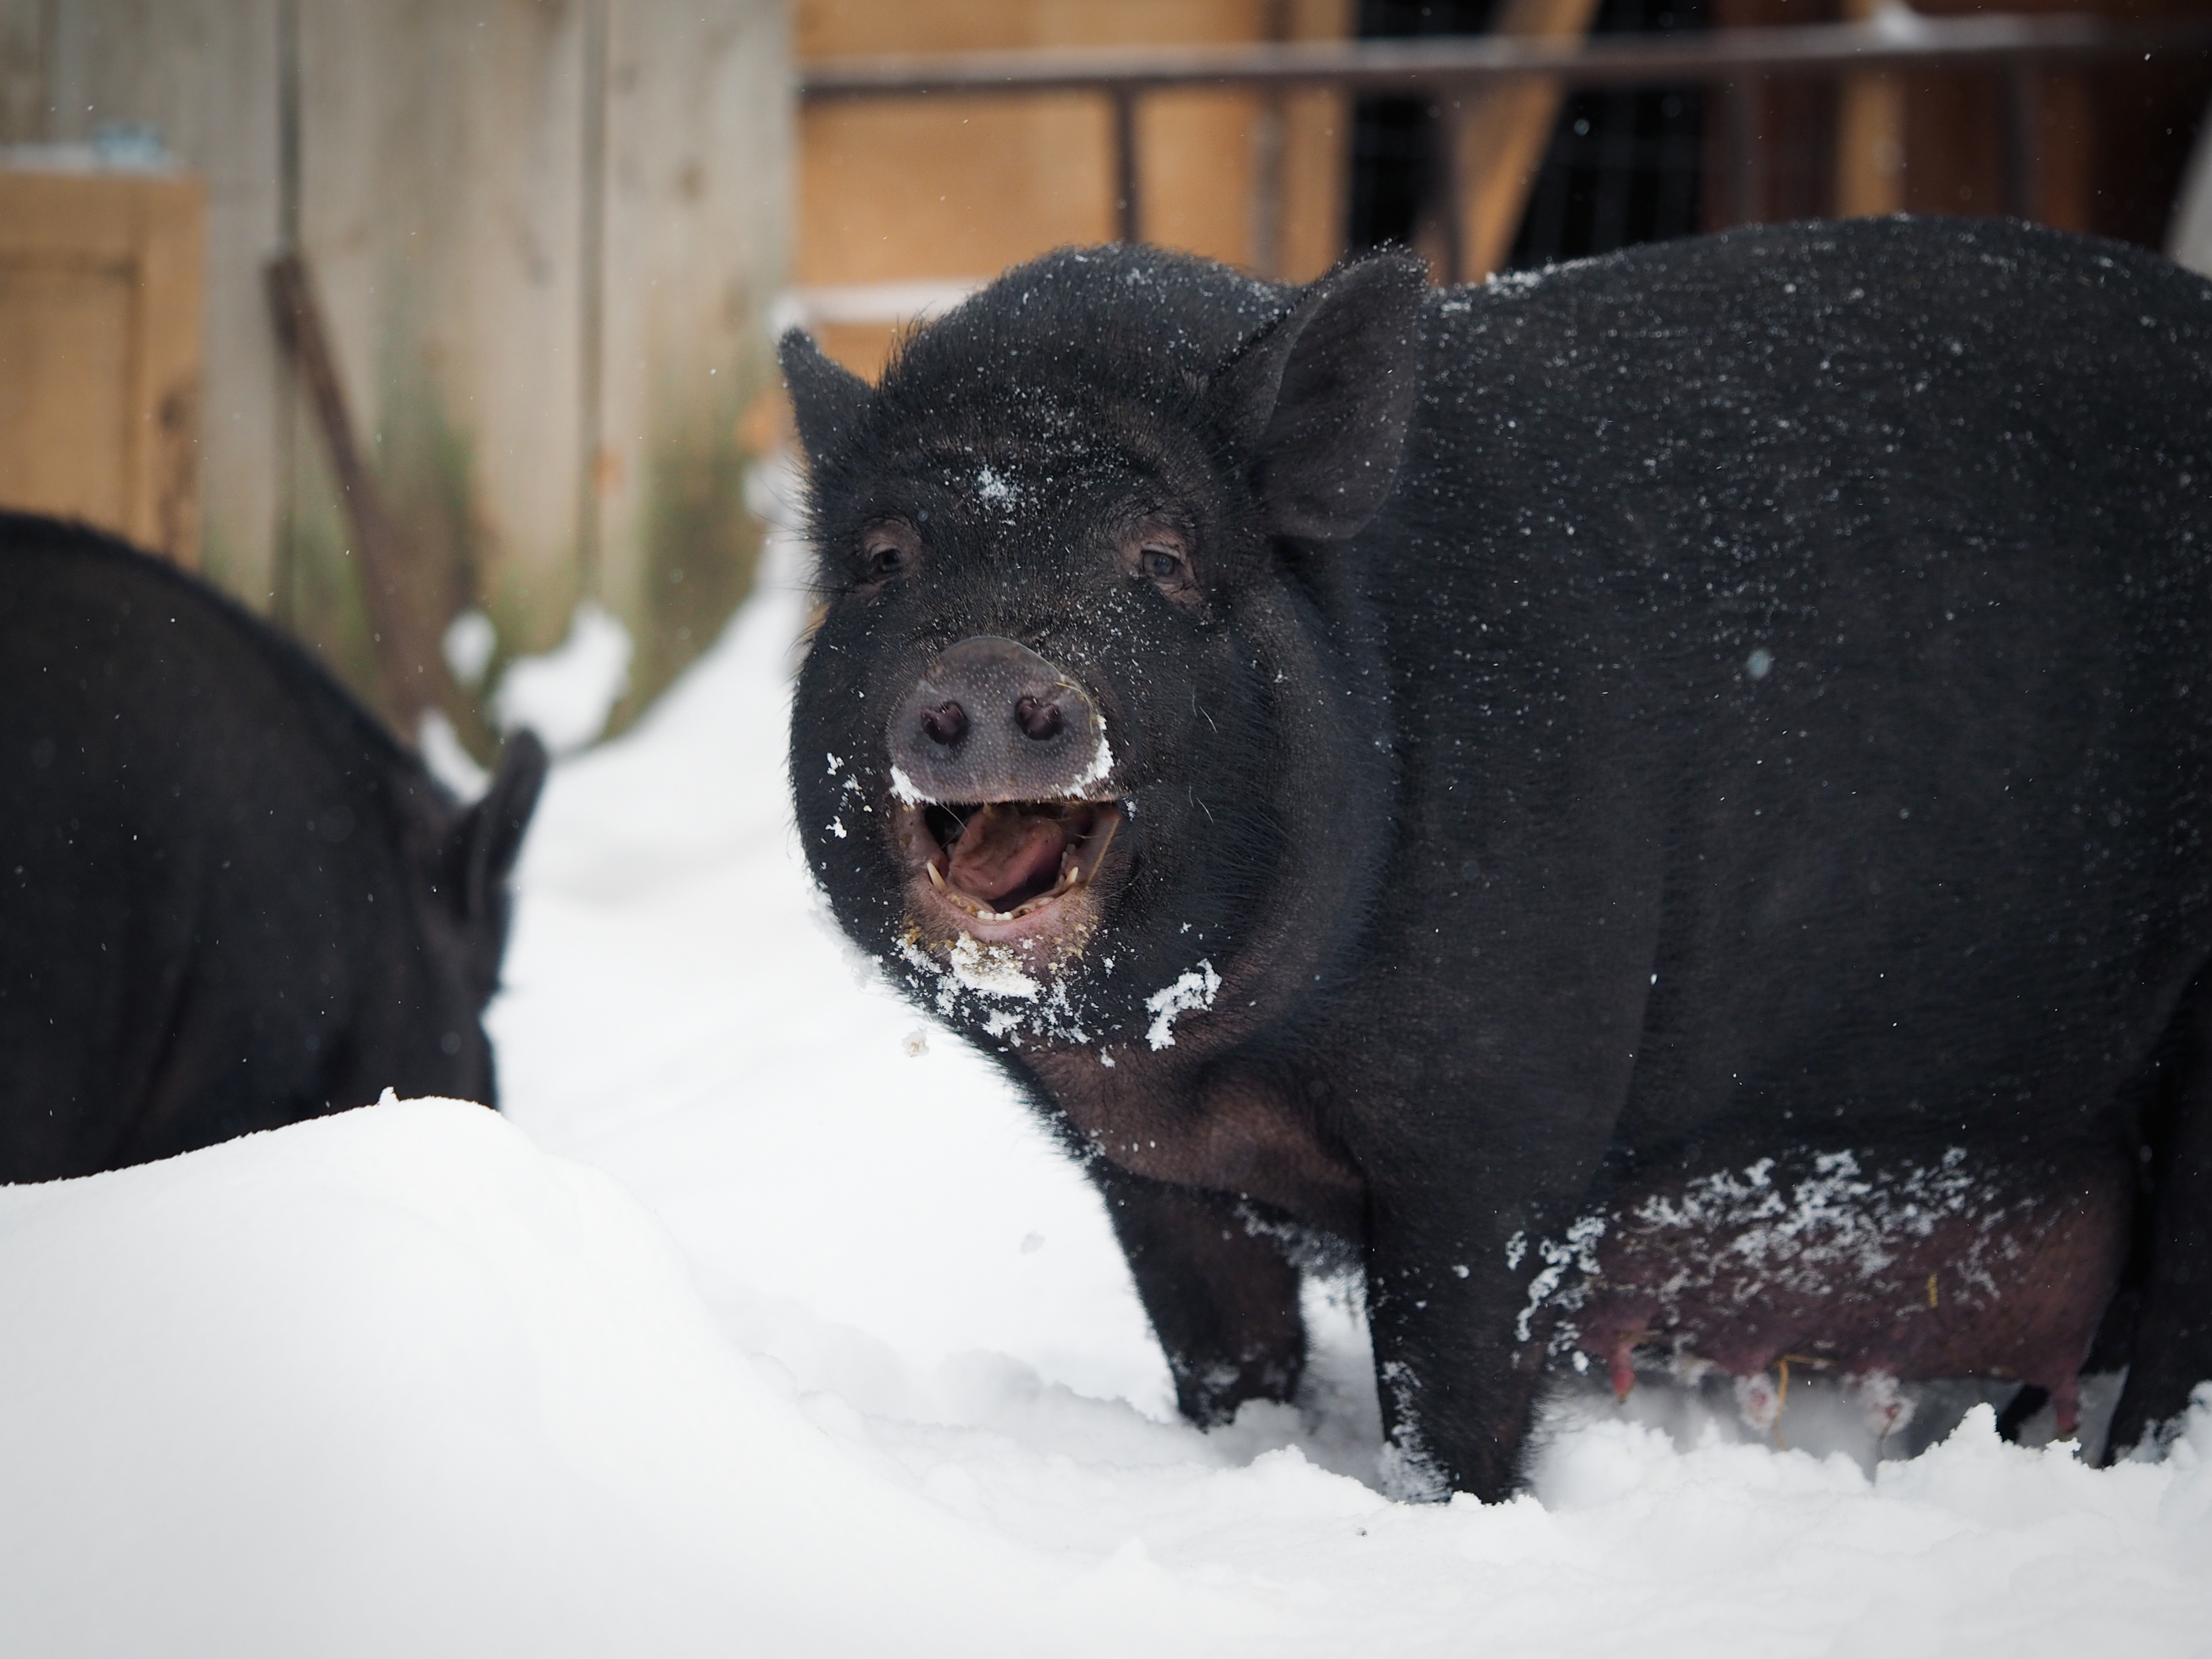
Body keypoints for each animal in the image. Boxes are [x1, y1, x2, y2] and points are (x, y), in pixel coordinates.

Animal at [787, 214, 2212, 1504]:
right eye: (884, 560)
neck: (1213, 1071)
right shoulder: (1153, 1178)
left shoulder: (1502, 1136)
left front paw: (1441, 1517)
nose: (987, 668)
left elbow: (1455, 1396)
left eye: (1163, 558)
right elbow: (1226, 1369)